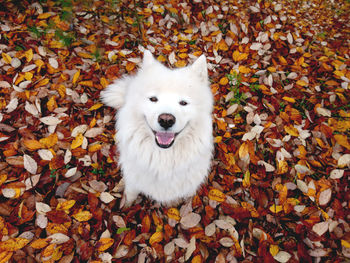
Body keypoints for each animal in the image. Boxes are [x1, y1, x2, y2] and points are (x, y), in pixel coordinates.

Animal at [100, 50, 213, 206]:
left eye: (183, 103)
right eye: (153, 99)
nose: (166, 120)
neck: (163, 160)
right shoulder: (133, 180)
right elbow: (130, 194)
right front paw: (126, 206)